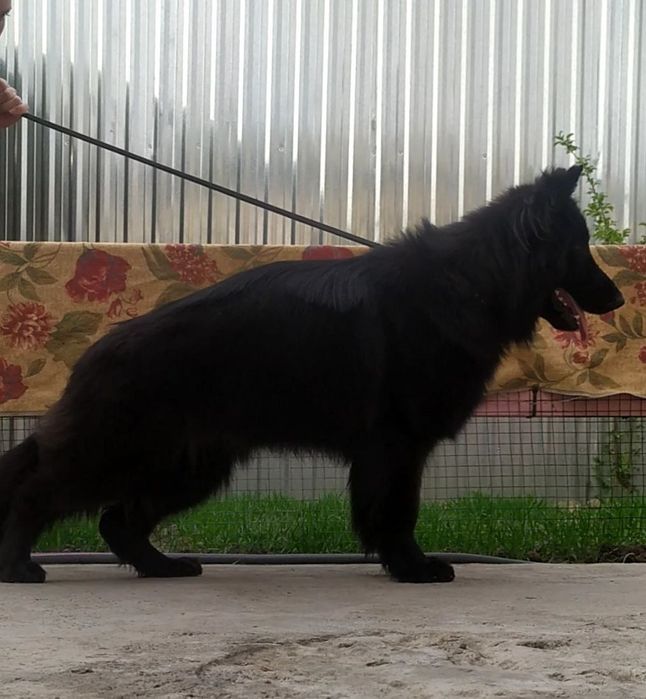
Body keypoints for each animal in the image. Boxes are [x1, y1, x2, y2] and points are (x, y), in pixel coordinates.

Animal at [0, 166, 624, 583]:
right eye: (580, 248)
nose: (619, 299)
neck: (472, 281)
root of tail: (96, 352)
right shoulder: (397, 445)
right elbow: (397, 510)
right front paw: (411, 566)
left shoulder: (391, 449)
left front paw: (399, 563)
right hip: (117, 453)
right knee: (35, 491)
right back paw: (19, 565)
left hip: (190, 467)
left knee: (116, 521)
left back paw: (160, 567)